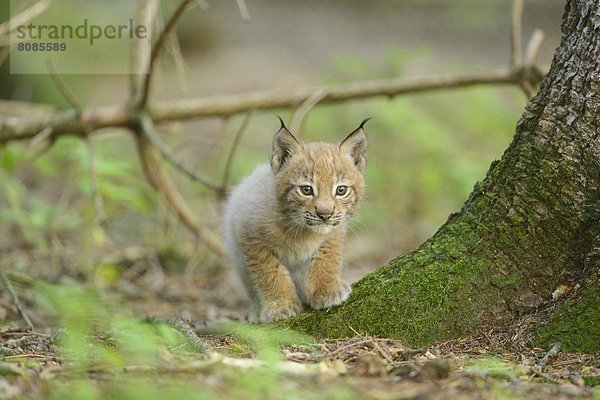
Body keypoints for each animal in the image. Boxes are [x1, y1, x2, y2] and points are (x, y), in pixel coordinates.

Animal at [223, 118, 368, 322]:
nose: (325, 214)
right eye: (306, 190)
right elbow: (271, 272)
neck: (301, 230)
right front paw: (280, 306)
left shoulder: (336, 229)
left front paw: (326, 289)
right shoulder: (250, 236)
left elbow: (327, 257)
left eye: (341, 190)